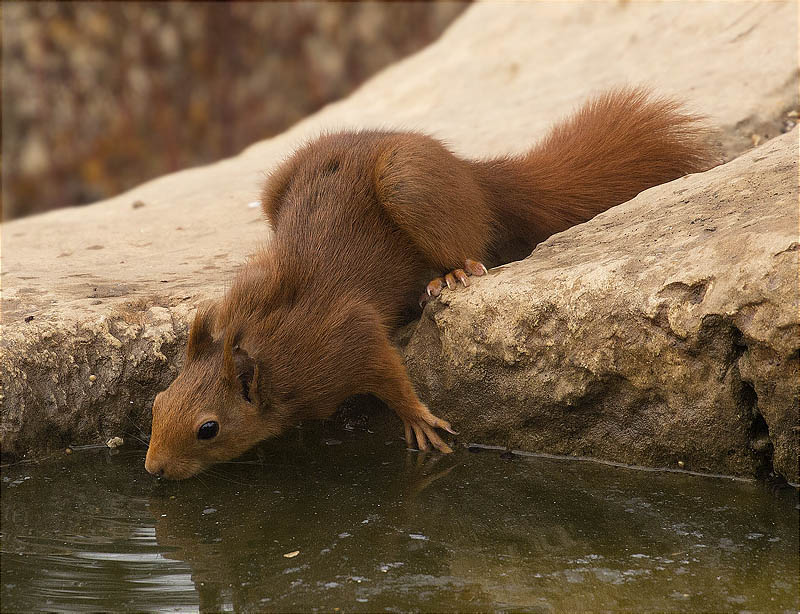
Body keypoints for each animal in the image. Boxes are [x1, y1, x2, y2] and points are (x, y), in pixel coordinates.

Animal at [145, 86, 720, 482]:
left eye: (208, 429)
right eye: (155, 403)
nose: (153, 469)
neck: (266, 345)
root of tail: (470, 173)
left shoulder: (343, 337)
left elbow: (387, 371)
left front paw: (418, 418)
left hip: (411, 184)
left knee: (465, 240)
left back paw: (454, 273)